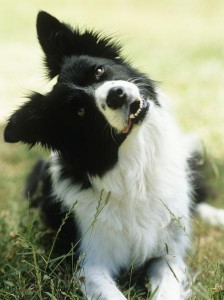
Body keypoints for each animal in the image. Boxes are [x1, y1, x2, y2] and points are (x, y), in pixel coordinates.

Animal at [4, 9, 221, 300]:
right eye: (80, 112)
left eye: (98, 70)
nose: (116, 94)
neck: (134, 166)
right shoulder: (90, 265)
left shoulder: (168, 256)